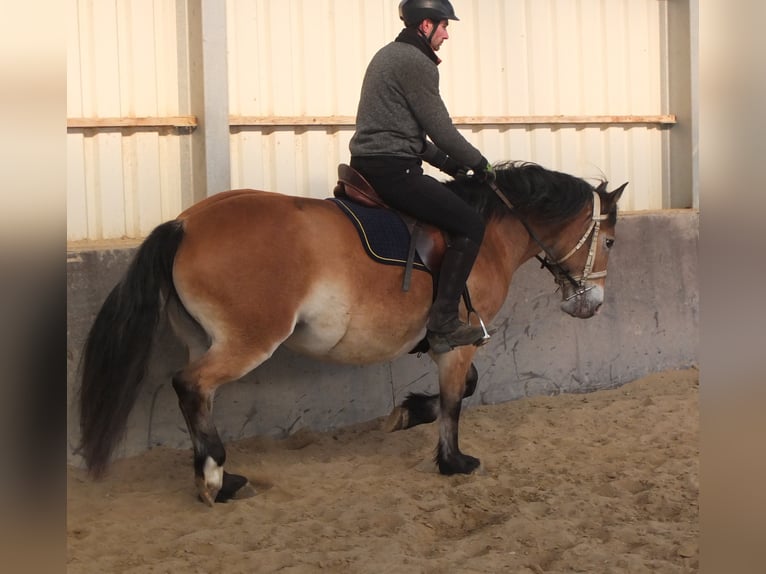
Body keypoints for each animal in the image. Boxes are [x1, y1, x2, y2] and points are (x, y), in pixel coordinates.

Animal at [78, 162, 632, 508]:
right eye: (608, 241)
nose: (592, 304)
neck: (489, 232)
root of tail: (184, 223)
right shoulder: (459, 339)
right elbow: (457, 398)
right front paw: (453, 461)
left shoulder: (451, 343)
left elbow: (465, 389)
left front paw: (408, 413)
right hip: (249, 340)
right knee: (191, 385)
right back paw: (215, 477)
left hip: (204, 338)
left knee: (198, 396)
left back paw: (222, 478)